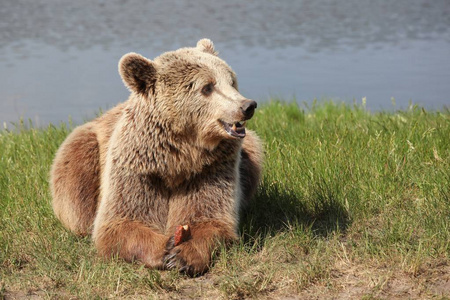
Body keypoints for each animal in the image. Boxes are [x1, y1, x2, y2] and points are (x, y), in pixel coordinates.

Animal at [51, 39, 264, 276]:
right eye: (207, 87)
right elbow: (121, 221)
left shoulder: (210, 169)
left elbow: (210, 216)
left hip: (249, 152)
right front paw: (165, 248)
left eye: (231, 81)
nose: (247, 106)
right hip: (82, 151)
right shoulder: (138, 168)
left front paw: (184, 255)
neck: (179, 156)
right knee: (76, 194)